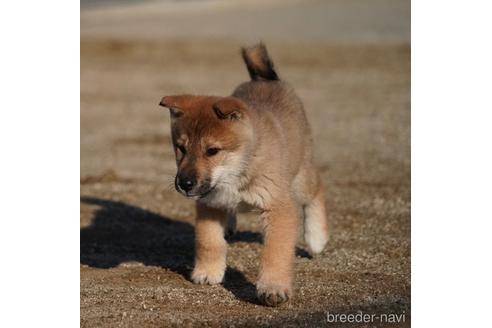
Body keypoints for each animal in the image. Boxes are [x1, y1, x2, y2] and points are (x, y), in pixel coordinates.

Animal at [160, 43, 328, 304]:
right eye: (181, 148)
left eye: (212, 151)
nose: (185, 183)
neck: (234, 175)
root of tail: (266, 79)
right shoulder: (209, 203)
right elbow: (209, 242)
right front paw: (208, 272)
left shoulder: (279, 207)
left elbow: (275, 252)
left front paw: (273, 288)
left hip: (300, 178)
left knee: (317, 190)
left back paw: (316, 239)